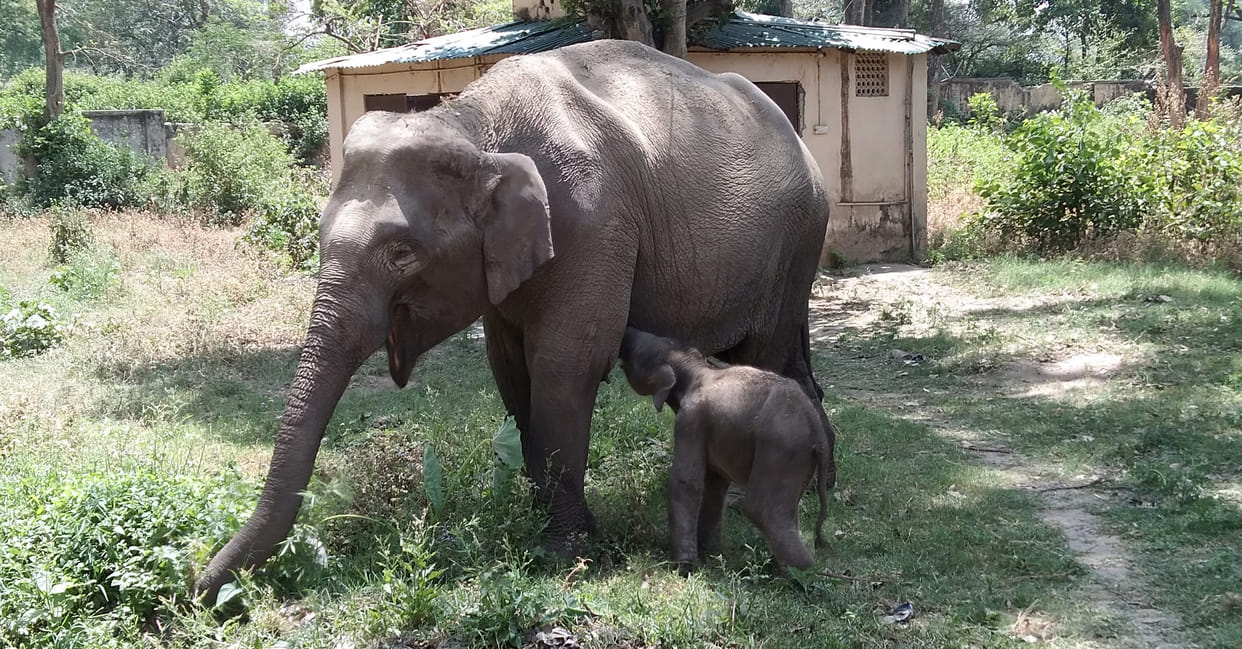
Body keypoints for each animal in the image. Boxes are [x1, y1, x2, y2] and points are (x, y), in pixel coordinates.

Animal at [618, 326, 832, 572]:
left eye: (637, 350)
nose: (627, 329)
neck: (697, 368)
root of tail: (818, 433)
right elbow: (715, 485)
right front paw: (711, 554)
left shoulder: (690, 420)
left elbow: (687, 482)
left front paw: (684, 567)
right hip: (799, 458)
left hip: (781, 450)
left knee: (761, 509)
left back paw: (801, 573)